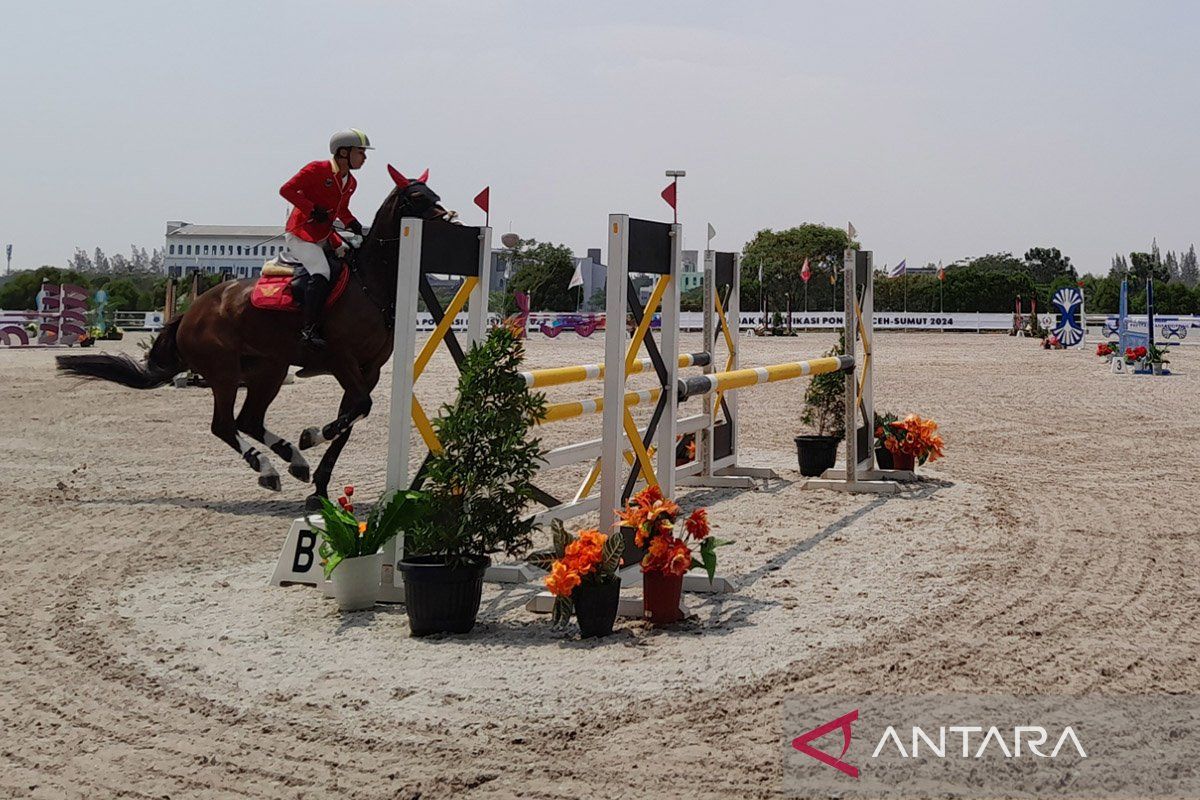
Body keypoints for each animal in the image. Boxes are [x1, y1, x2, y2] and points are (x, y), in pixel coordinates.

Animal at [56, 165, 451, 510]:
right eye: (417, 196)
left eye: (436, 193)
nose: (450, 221)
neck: (370, 284)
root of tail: (191, 313)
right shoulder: (342, 361)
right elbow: (356, 411)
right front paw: (311, 435)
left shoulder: (368, 371)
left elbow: (352, 419)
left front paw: (319, 485)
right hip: (225, 373)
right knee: (224, 425)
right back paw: (268, 468)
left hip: (268, 370)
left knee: (248, 420)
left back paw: (293, 460)